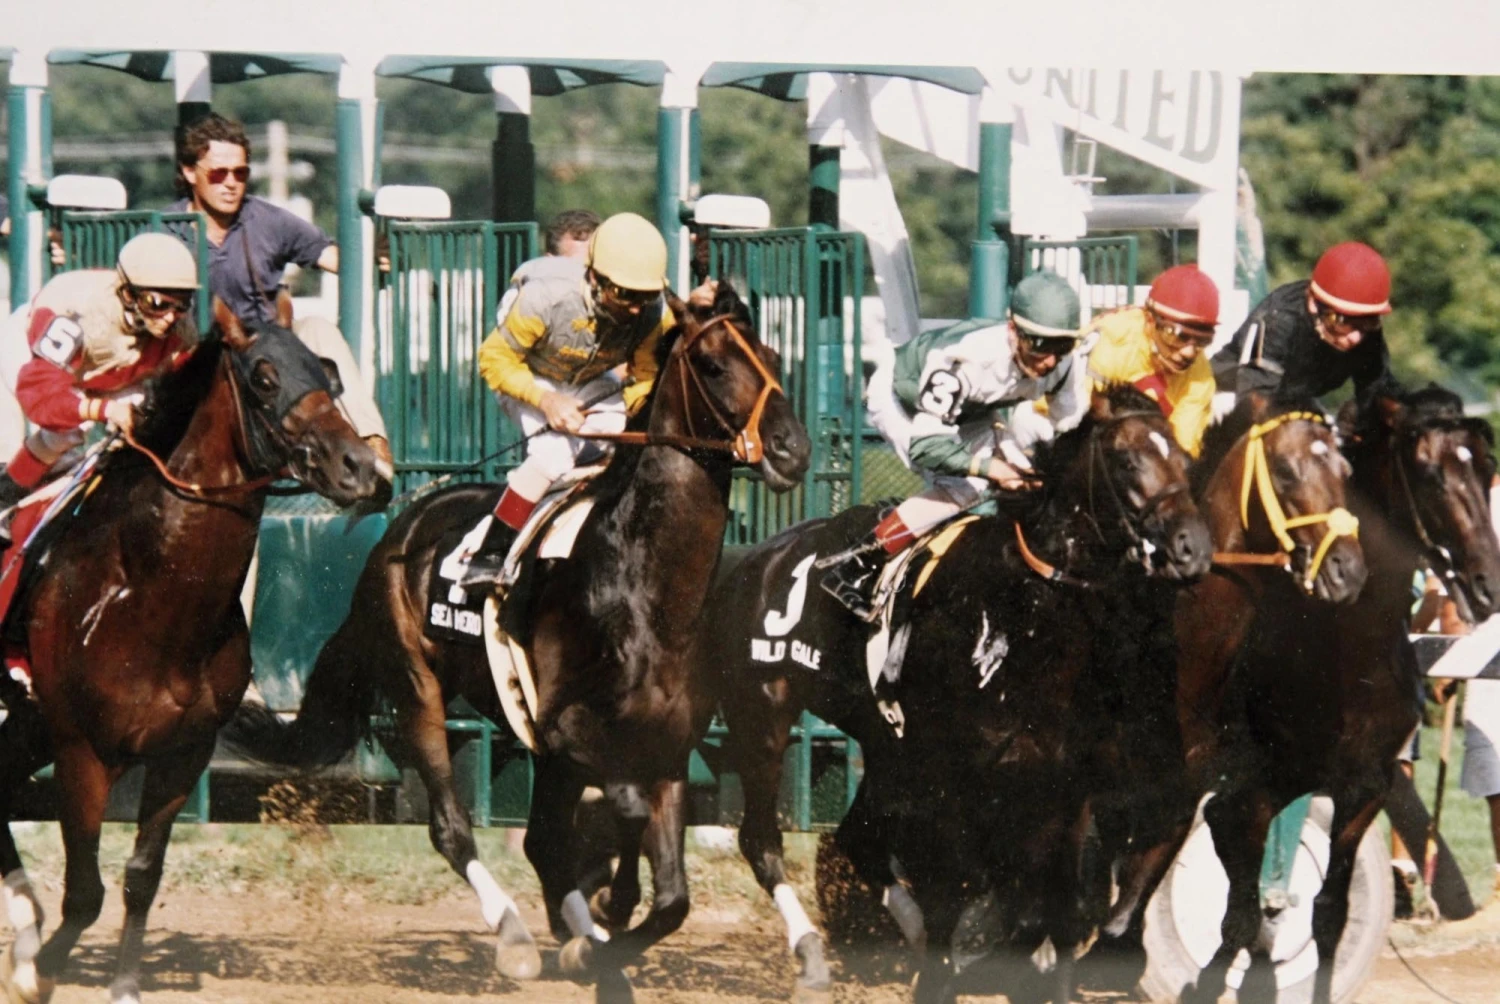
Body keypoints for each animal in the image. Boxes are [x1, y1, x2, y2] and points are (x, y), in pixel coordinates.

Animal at [0, 296, 381, 1004]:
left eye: (329, 372)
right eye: (264, 377)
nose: (360, 467)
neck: (153, 596)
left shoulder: (182, 754)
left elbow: (140, 878)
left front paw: (115, 982)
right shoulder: (81, 751)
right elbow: (85, 894)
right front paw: (37, 975)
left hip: (28, 725)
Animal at [221, 281, 812, 1001]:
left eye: (772, 355)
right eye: (714, 365)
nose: (791, 448)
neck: (647, 590)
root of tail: (401, 527)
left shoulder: (665, 748)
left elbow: (672, 900)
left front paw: (604, 940)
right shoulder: (570, 733)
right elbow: (624, 815)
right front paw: (609, 910)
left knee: (539, 842)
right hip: (418, 691)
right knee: (454, 829)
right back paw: (519, 936)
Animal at [702, 385, 1213, 1002]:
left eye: (1184, 460)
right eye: (1126, 461)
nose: (1192, 548)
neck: (1021, 613)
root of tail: (753, 560)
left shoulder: (1061, 787)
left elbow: (1052, 911)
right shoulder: (951, 783)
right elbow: (958, 893)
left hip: (883, 745)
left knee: (861, 839)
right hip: (763, 713)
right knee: (762, 838)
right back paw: (814, 954)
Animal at [1171, 383, 1500, 1004]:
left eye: (1486, 466)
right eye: (1430, 473)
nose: (1488, 582)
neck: (1346, 647)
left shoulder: (1364, 784)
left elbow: (1327, 913)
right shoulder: (1255, 786)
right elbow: (1242, 911)